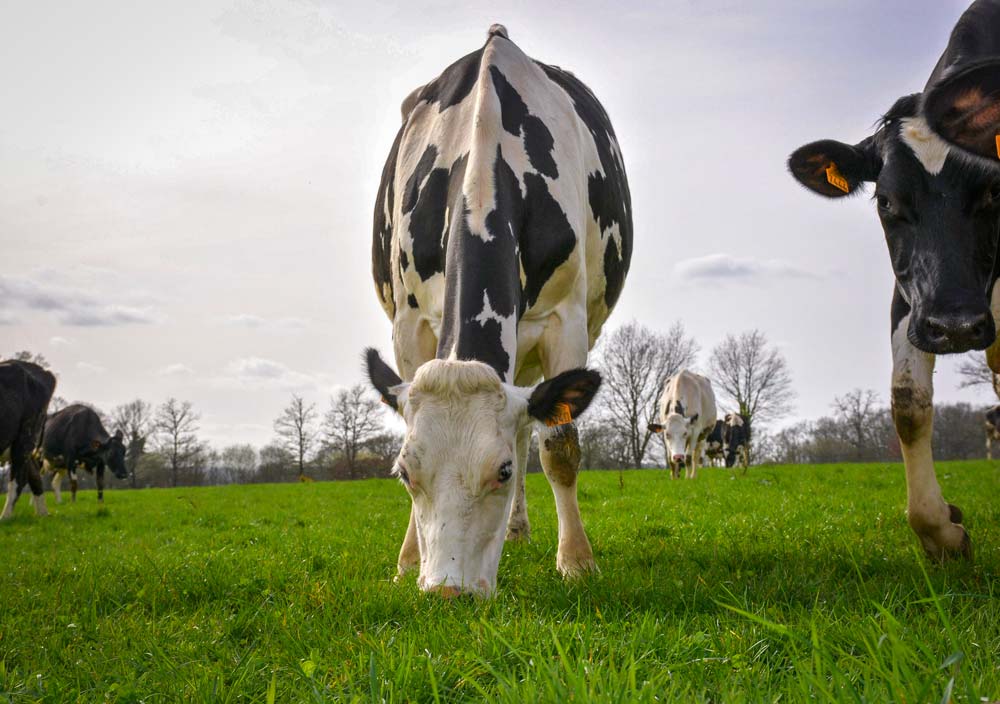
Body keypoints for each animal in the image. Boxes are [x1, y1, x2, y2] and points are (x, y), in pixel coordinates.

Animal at [368, 24, 632, 592]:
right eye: (404, 473)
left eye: (502, 471)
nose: (447, 592)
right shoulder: (409, 325)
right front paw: (407, 561)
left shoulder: (565, 322)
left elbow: (558, 447)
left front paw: (577, 561)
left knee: (533, 429)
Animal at [788, 0, 1000, 560]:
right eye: (885, 201)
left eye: (994, 189)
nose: (954, 326)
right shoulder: (909, 298)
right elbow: (907, 403)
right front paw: (942, 531)